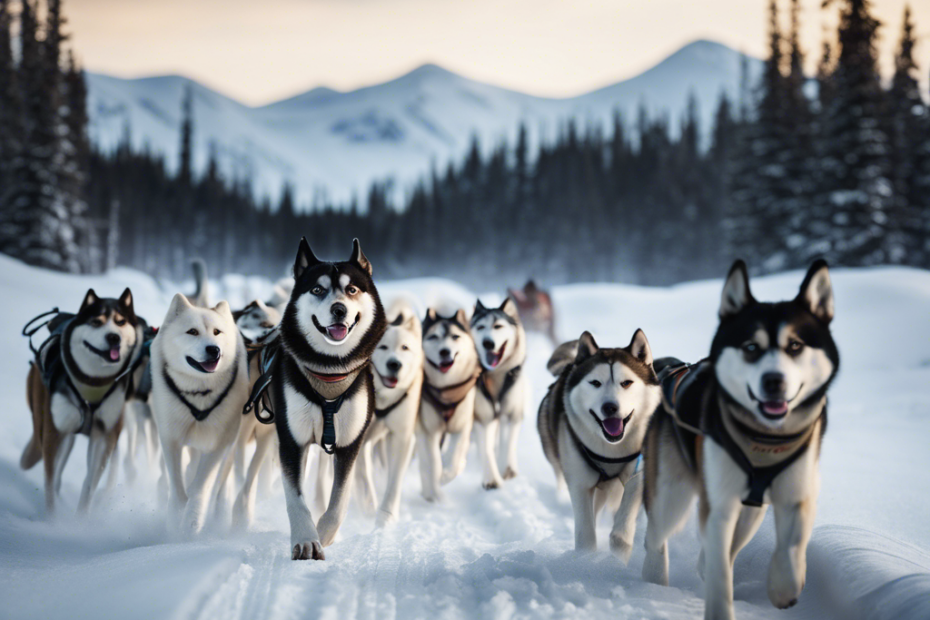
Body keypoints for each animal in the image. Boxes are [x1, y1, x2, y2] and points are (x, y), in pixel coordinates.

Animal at [148, 294, 245, 532]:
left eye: (217, 332)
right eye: (192, 331)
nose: (214, 349)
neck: (199, 393)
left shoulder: (218, 446)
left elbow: (201, 487)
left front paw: (191, 522)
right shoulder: (171, 439)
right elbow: (177, 485)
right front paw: (176, 518)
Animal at [468, 300, 524, 490]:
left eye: (498, 326)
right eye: (480, 327)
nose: (488, 343)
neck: (496, 376)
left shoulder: (512, 413)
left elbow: (508, 443)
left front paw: (507, 468)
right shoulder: (482, 416)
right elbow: (486, 448)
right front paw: (491, 478)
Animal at [532, 332, 656, 560]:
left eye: (627, 383)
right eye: (595, 383)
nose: (610, 407)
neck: (611, 450)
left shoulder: (638, 471)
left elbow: (623, 525)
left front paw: (618, 557)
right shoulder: (580, 483)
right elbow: (586, 535)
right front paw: (585, 561)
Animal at [640, 260, 836, 616]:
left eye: (796, 345)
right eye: (751, 347)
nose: (774, 381)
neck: (765, 438)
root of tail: (672, 370)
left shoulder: (796, 491)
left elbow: (791, 546)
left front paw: (784, 587)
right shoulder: (718, 503)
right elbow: (719, 573)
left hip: (751, 513)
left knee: (726, 548)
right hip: (672, 495)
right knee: (657, 536)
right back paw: (653, 579)